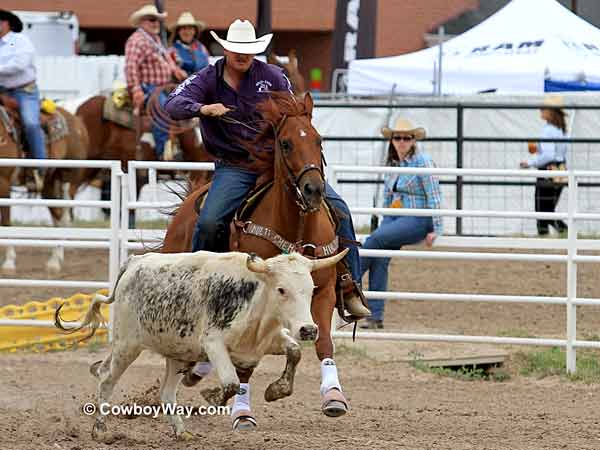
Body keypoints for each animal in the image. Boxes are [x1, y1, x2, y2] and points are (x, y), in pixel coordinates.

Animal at [163, 91, 352, 426]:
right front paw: (242, 412)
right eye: (285, 143)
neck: (296, 228)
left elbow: (323, 341)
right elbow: (247, 362)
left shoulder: (323, 291)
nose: (313, 190)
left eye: (318, 140)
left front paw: (333, 396)